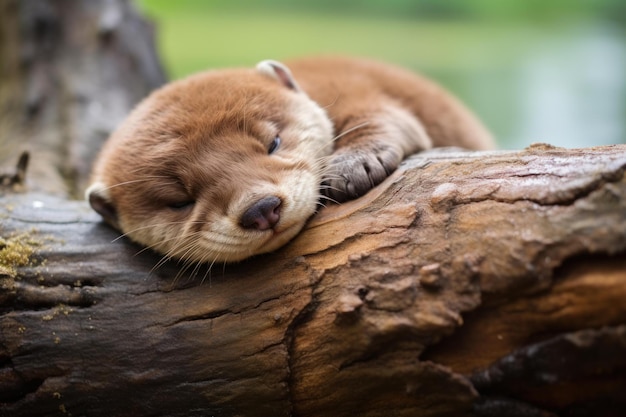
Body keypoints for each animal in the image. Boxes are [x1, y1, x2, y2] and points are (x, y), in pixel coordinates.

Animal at [85, 55, 492, 264]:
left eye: (273, 143)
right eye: (179, 202)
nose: (260, 209)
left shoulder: (354, 92)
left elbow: (381, 118)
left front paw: (351, 167)